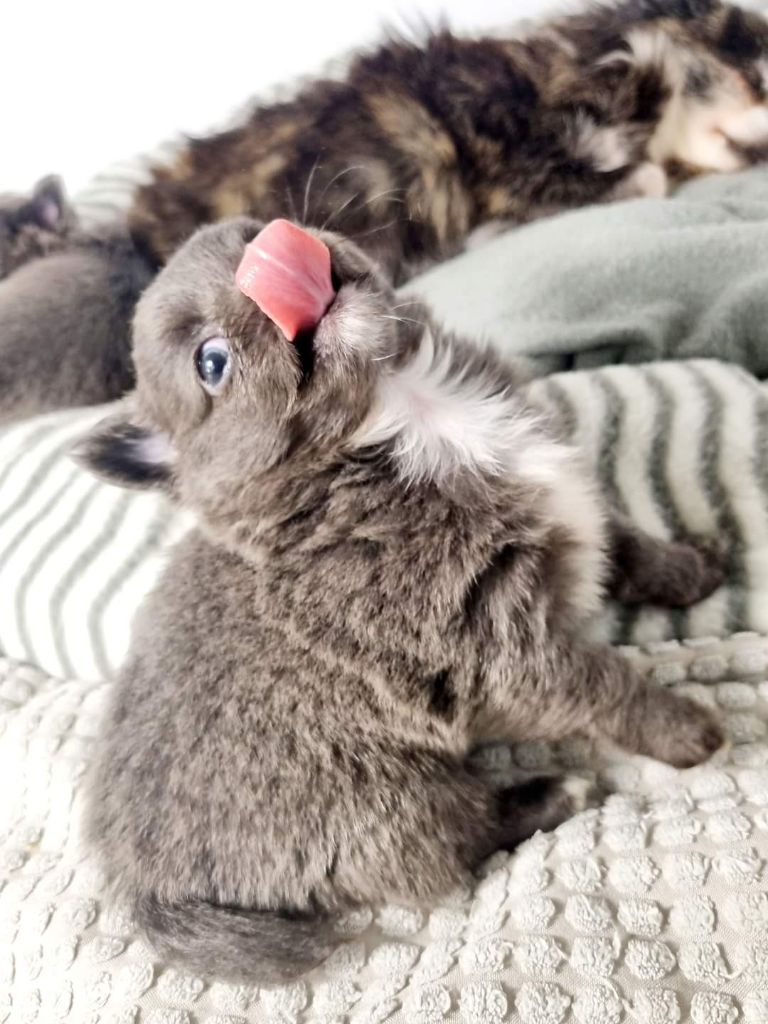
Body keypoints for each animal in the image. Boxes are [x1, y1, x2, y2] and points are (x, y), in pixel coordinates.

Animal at [77, 216, 725, 984]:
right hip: (387, 798)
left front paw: (692, 569)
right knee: (456, 839)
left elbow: (627, 546)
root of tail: (145, 890)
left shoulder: (566, 508)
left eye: (246, 234)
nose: (268, 256)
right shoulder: (502, 650)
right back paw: (551, 794)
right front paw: (687, 730)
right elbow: (607, 686)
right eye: (212, 362)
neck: (405, 409)